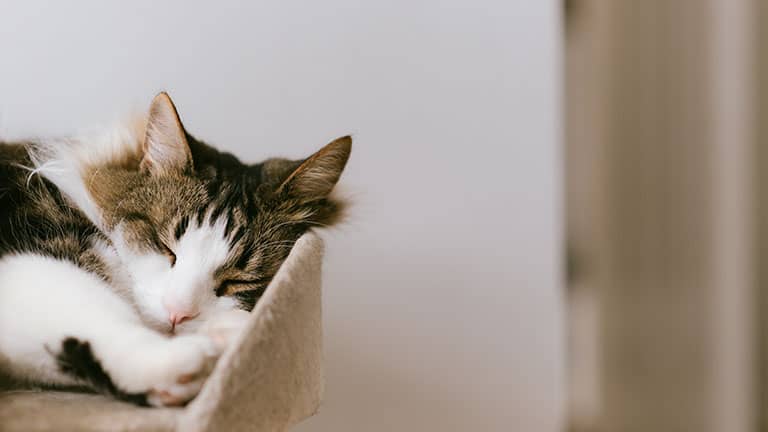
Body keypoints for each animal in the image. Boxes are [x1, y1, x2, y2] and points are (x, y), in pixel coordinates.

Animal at [0, 93, 352, 406]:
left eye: (238, 281)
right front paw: (185, 357)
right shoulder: (33, 253)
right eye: (165, 247)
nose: (178, 314)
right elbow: (90, 308)